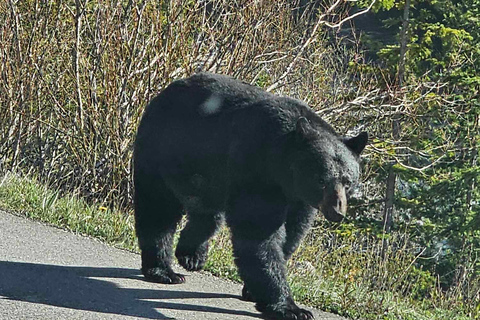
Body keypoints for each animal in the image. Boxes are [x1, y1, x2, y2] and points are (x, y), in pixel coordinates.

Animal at [133, 73, 366, 320]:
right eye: (321, 180)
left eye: (348, 182)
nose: (337, 211)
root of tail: (166, 90)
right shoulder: (256, 169)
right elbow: (259, 234)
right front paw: (290, 307)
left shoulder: (300, 199)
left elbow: (292, 234)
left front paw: (254, 291)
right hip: (161, 152)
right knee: (158, 209)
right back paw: (163, 270)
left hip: (209, 177)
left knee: (207, 216)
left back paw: (192, 255)